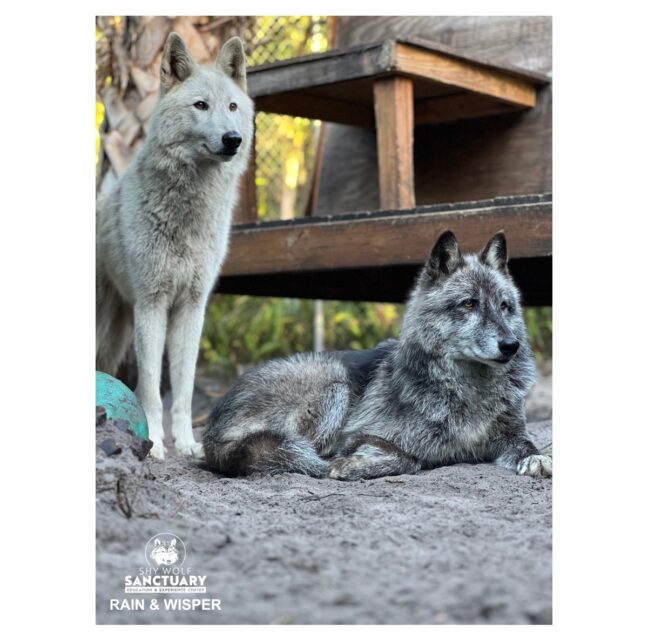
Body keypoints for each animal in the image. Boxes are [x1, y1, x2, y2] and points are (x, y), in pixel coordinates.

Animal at [96, 33, 254, 459]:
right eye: (200, 105)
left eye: (232, 106)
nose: (233, 139)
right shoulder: (152, 305)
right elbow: (152, 389)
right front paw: (153, 443)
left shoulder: (192, 307)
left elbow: (182, 389)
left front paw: (186, 444)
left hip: (117, 331)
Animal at [203, 231, 552, 481]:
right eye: (469, 303)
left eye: (505, 306)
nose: (511, 345)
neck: (470, 390)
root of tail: (212, 424)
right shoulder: (361, 434)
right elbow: (409, 458)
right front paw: (350, 465)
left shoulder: (510, 433)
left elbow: (526, 444)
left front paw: (536, 458)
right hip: (334, 383)